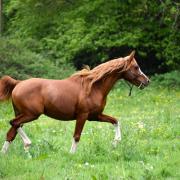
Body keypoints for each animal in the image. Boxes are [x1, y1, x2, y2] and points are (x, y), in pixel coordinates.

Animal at [0, 50, 149, 153]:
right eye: (136, 67)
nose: (147, 81)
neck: (93, 87)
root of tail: (18, 83)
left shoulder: (95, 116)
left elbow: (115, 120)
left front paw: (116, 142)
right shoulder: (82, 115)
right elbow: (77, 136)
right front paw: (72, 154)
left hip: (22, 113)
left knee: (11, 132)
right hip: (32, 114)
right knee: (13, 123)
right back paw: (27, 143)